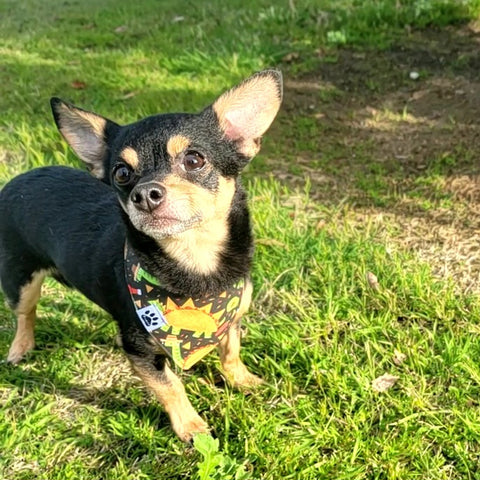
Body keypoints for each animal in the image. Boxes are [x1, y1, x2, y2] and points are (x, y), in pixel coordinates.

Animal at [0, 69, 284, 440]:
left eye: (194, 159)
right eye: (121, 173)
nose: (146, 194)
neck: (194, 262)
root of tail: (16, 179)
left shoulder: (232, 316)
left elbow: (231, 351)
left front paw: (243, 381)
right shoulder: (139, 350)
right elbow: (171, 385)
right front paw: (191, 427)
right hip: (19, 278)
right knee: (25, 313)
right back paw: (20, 348)